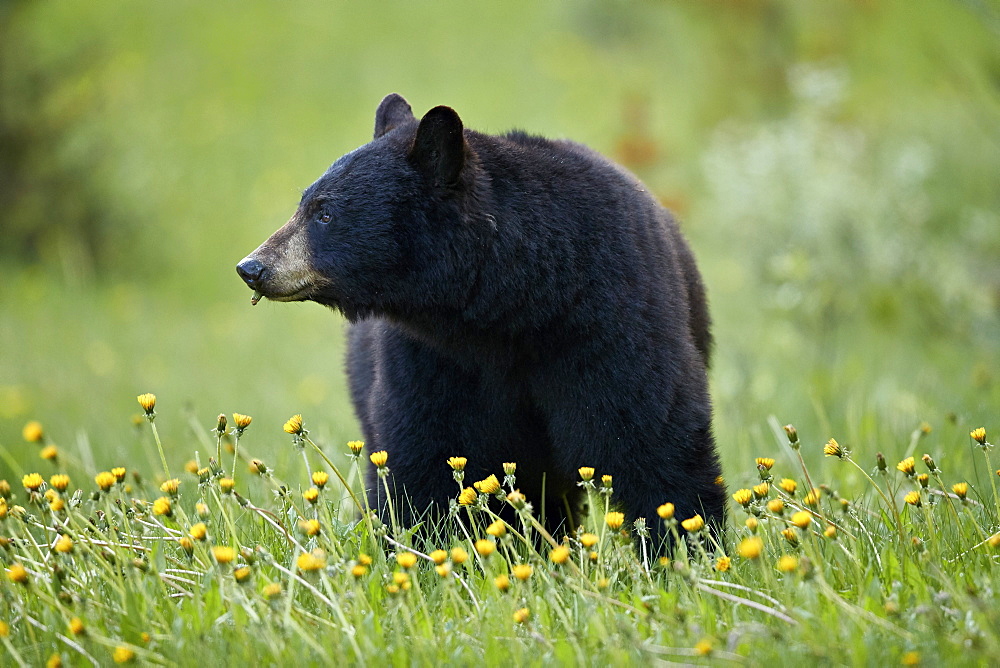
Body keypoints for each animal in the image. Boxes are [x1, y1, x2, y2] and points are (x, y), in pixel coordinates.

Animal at [242, 92, 728, 544]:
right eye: (304, 204)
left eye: (325, 213)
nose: (252, 267)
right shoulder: (431, 354)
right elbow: (425, 450)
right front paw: (423, 547)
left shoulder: (609, 321)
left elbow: (649, 437)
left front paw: (687, 544)